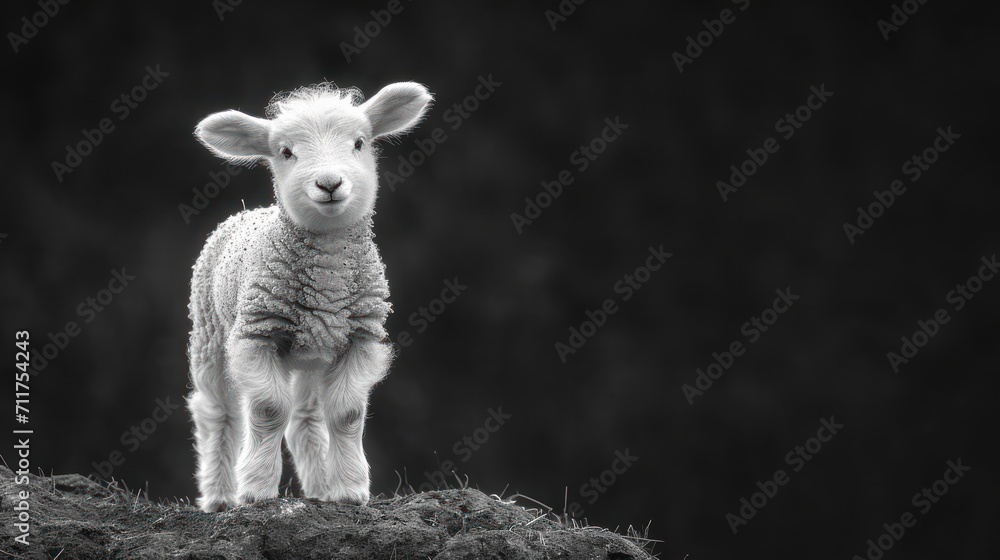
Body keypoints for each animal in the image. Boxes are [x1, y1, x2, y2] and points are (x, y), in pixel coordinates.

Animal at [188, 81, 430, 516]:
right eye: (286, 152)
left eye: (359, 143)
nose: (330, 184)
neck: (328, 278)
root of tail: (248, 211)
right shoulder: (257, 335)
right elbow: (268, 410)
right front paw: (256, 490)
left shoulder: (359, 339)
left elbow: (347, 414)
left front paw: (350, 490)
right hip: (210, 332)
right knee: (217, 413)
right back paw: (218, 496)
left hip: (312, 354)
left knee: (305, 418)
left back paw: (320, 489)